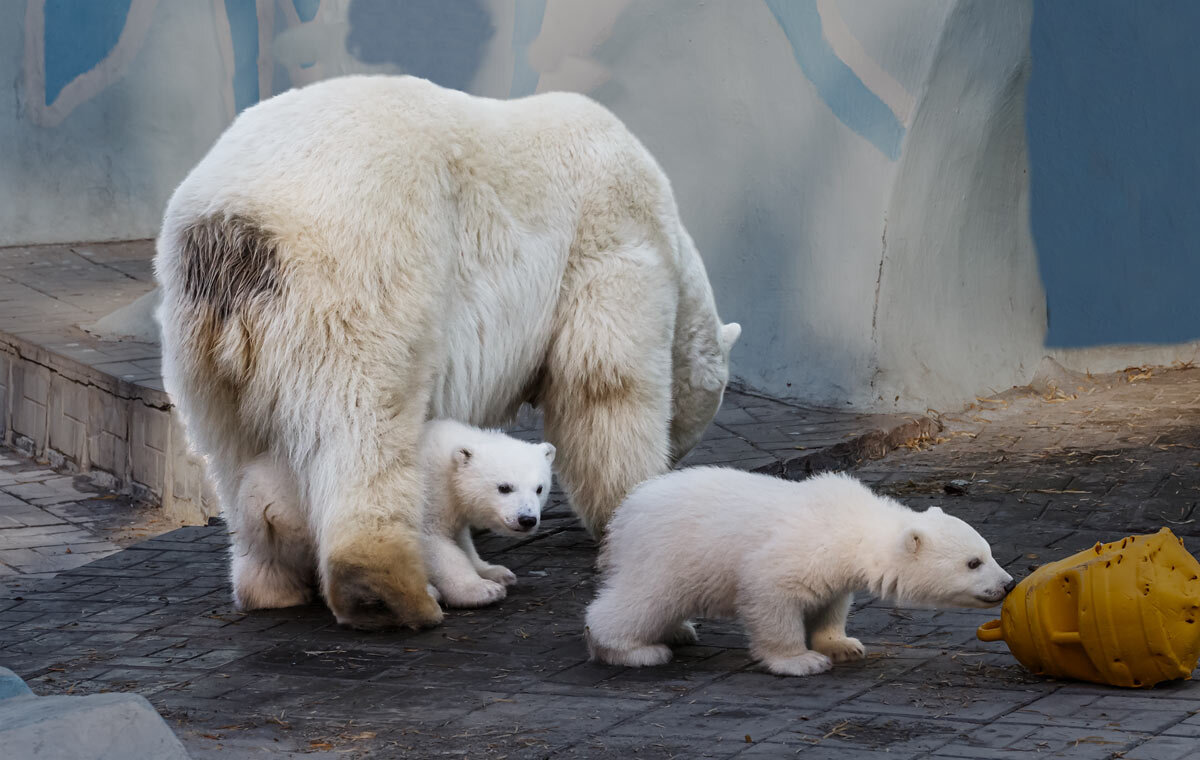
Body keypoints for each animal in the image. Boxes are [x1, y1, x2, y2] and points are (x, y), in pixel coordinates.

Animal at [157, 75, 739, 629]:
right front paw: (634, 510)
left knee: (235, 451)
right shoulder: (610, 239)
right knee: (364, 418)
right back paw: (386, 592)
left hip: (202, 335)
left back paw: (270, 584)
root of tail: (235, 226)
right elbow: (607, 383)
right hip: (359, 266)